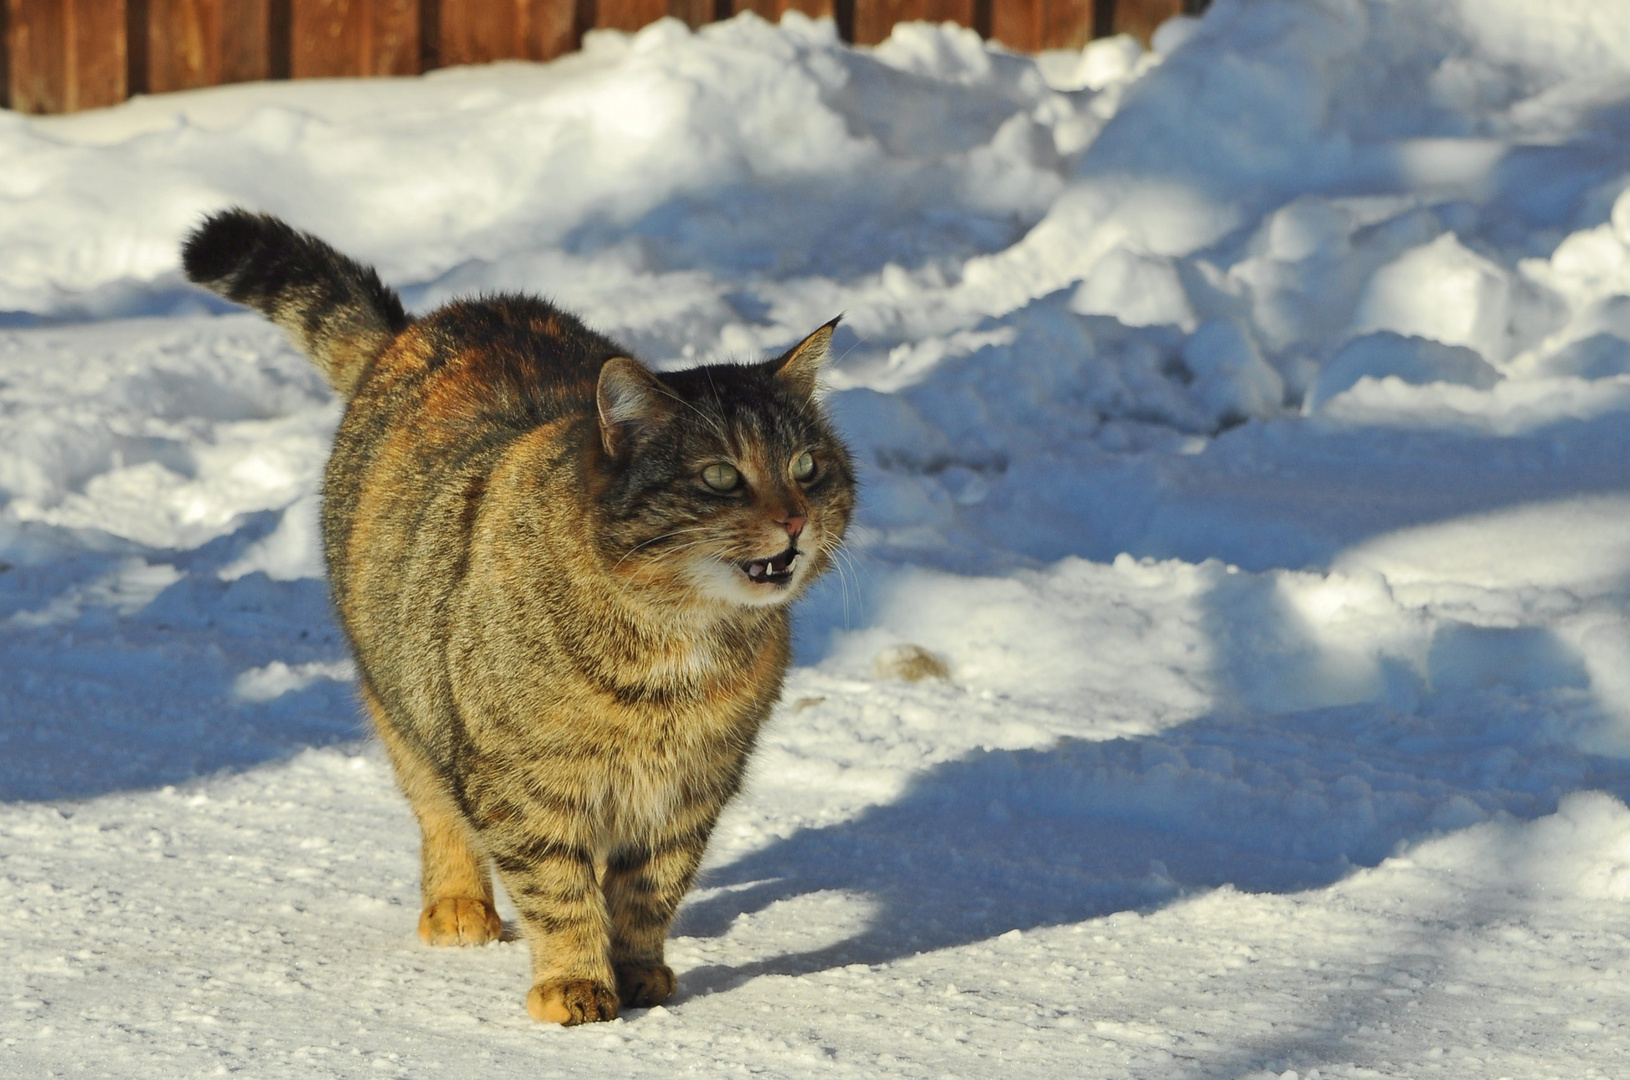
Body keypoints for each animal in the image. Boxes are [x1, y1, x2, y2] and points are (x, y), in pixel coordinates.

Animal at [185, 211, 860, 1029]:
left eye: (807, 467)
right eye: (720, 476)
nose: (795, 519)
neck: (673, 644)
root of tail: (427, 323)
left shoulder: (689, 788)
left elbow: (649, 891)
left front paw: (638, 970)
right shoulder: (521, 781)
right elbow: (557, 891)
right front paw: (574, 981)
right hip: (405, 701)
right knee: (437, 810)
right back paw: (457, 906)